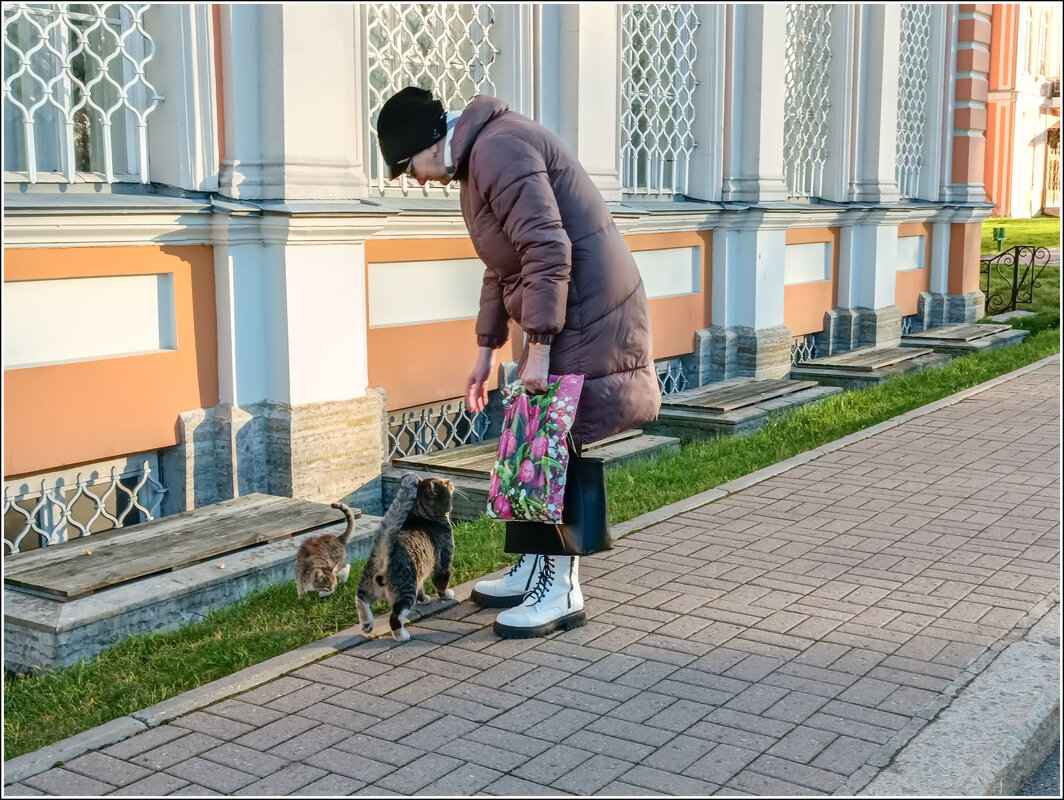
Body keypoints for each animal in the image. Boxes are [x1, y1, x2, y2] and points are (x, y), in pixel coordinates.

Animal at [357, 474, 457, 642]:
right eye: (444, 483)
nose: (450, 480)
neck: (421, 515)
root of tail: (384, 552)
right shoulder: (443, 562)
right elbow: (441, 583)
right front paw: (447, 595)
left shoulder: (421, 570)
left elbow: (421, 587)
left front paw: (423, 599)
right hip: (405, 592)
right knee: (395, 617)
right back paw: (402, 636)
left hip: (368, 585)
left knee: (360, 598)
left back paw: (367, 625)